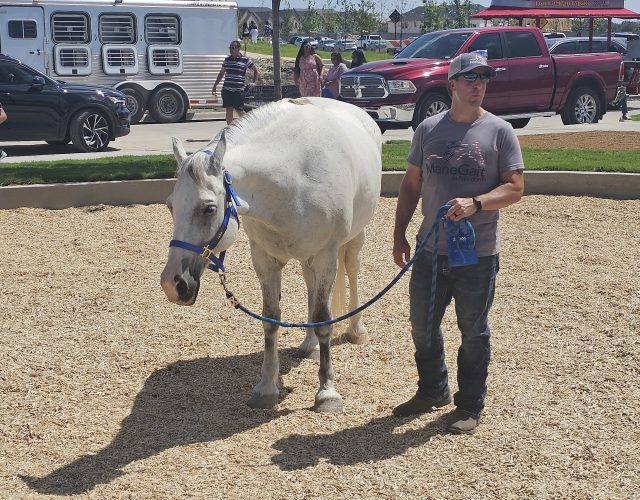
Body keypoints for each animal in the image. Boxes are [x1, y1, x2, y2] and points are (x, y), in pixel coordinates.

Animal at [161, 95, 380, 412]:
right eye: (170, 205)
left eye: (209, 208)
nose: (172, 284)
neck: (292, 176)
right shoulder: (264, 259)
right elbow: (271, 319)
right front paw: (266, 388)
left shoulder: (326, 257)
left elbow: (323, 318)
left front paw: (327, 393)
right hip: (307, 259)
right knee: (310, 287)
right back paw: (309, 345)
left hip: (351, 241)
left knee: (351, 271)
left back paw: (356, 330)